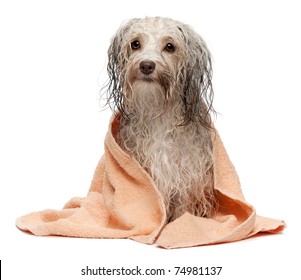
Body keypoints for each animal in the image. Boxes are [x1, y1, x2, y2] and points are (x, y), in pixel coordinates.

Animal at [102, 18, 216, 223]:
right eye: (135, 43)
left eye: (170, 46)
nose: (146, 65)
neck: (158, 113)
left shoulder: (187, 178)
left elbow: (182, 210)